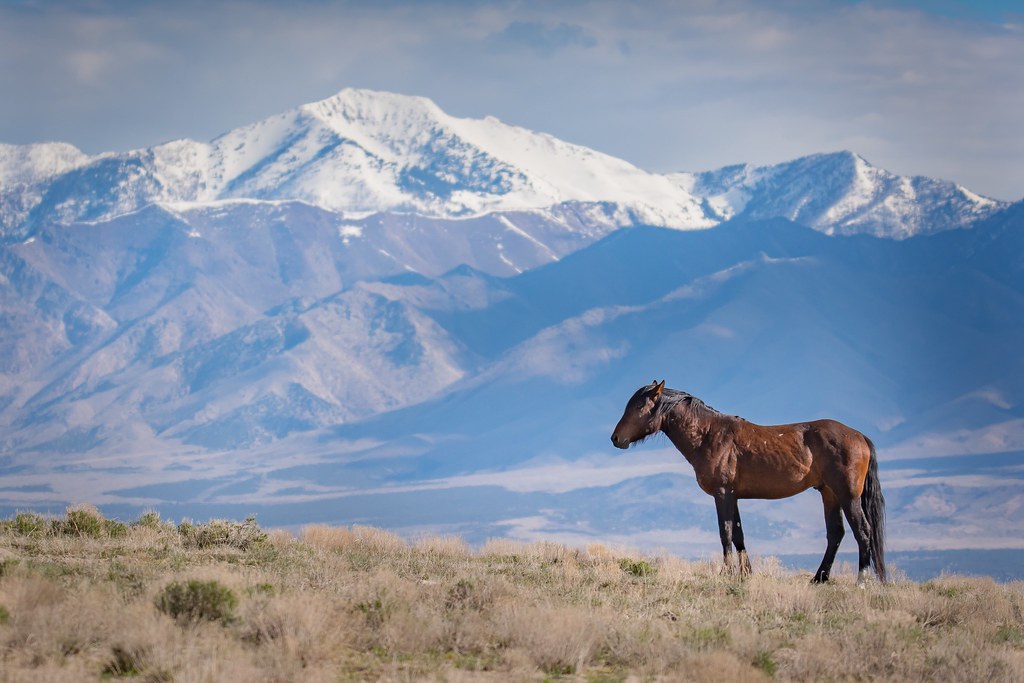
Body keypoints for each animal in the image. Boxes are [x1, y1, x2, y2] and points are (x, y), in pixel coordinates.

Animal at [610, 381, 886, 584]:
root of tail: (859, 436)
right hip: (829, 494)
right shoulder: (733, 495)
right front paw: (745, 574)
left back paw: (861, 581)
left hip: (847, 495)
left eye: (638, 406)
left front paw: (727, 573)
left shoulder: (722, 493)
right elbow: (739, 535)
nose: (616, 438)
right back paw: (818, 579)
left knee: (863, 531)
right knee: (835, 533)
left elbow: (725, 533)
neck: (709, 435)